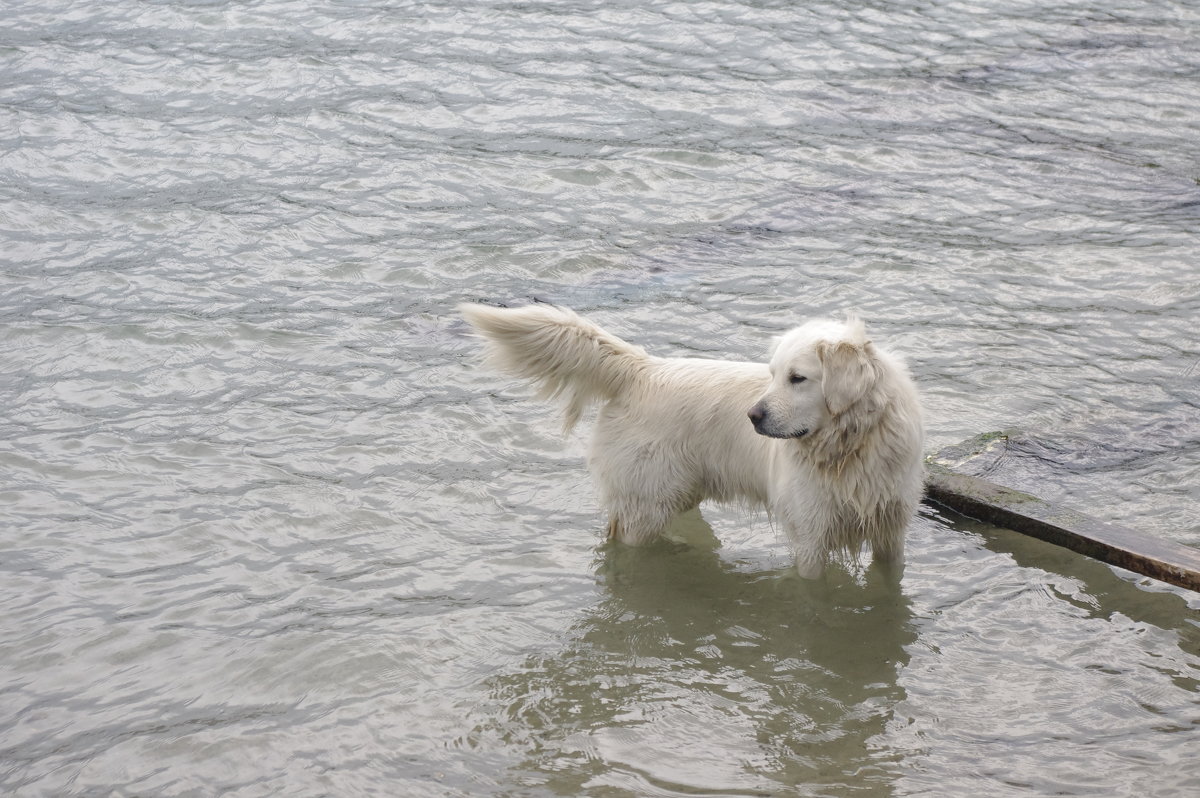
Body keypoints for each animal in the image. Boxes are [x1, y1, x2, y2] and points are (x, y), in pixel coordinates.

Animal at [460, 302, 926, 576]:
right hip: (645, 504)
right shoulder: (811, 536)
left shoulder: (891, 529)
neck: (850, 448)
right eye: (772, 374)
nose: (752, 415)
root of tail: (642, 368)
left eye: (797, 378)